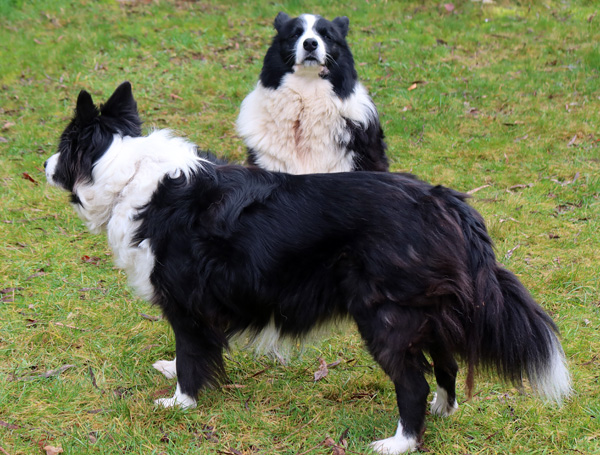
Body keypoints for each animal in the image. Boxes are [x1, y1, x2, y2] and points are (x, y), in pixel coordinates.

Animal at [44, 83, 568, 454]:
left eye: (64, 144)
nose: (44, 164)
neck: (131, 175)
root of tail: (445, 201)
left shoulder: (186, 303)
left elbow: (193, 356)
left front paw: (179, 403)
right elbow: (196, 351)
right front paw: (172, 371)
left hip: (385, 317)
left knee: (413, 384)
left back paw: (399, 443)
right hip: (430, 312)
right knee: (448, 364)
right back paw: (442, 412)